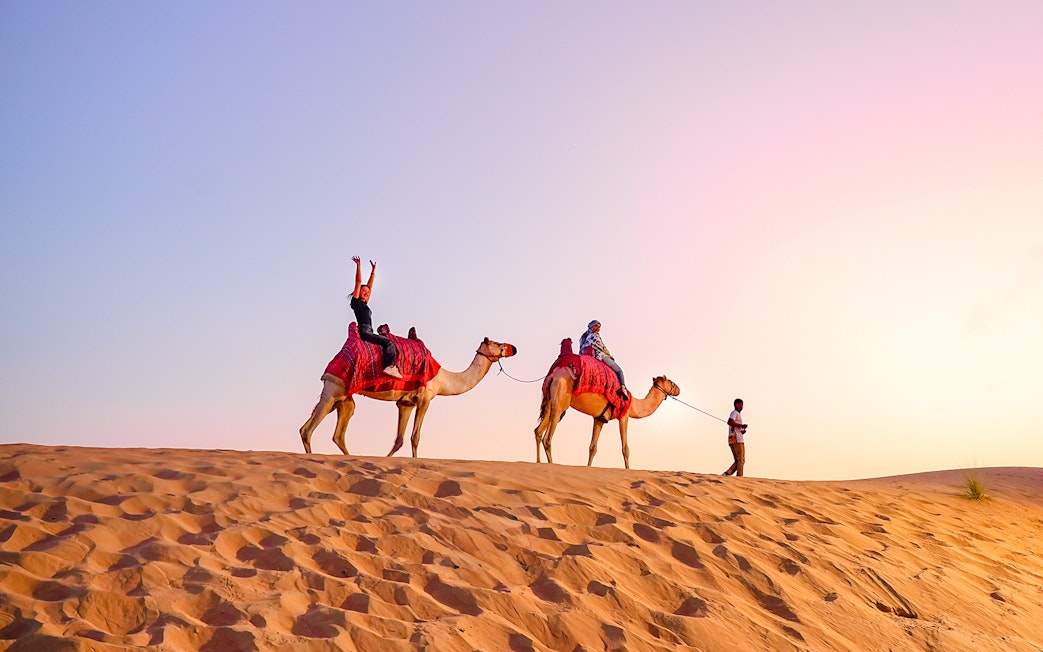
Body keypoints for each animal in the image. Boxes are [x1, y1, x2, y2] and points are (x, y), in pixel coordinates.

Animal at [300, 335, 517, 457]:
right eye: (498, 343)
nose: (513, 348)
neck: (443, 379)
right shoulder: (425, 399)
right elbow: (415, 437)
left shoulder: (405, 403)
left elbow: (399, 440)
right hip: (334, 390)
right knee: (309, 430)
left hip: (342, 399)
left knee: (332, 432)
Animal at [534, 345, 679, 469]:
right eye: (671, 382)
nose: (678, 389)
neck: (633, 404)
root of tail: (554, 375)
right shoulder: (624, 415)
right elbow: (625, 449)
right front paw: (628, 470)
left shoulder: (599, 418)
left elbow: (593, 447)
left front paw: (588, 468)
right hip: (560, 399)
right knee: (547, 439)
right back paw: (551, 465)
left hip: (549, 401)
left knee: (538, 431)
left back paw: (538, 462)